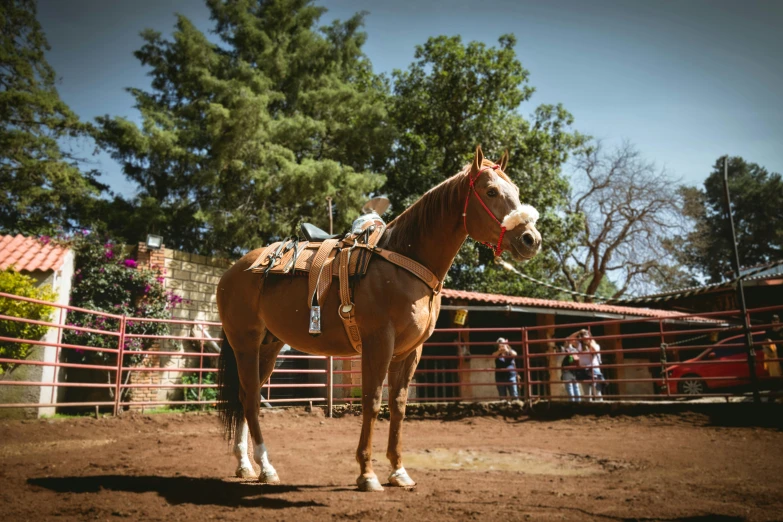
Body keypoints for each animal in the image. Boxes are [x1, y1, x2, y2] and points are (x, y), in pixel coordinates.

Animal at [217, 144, 544, 490]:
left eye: (516, 191)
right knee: (251, 399)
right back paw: (266, 467)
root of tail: (233, 271)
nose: (531, 239)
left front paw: (398, 471)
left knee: (244, 396)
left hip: (268, 347)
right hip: (245, 344)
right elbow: (373, 402)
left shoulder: (411, 351)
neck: (404, 262)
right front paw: (367, 473)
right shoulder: (378, 343)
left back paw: (245, 466)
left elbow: (398, 406)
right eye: (491, 191)